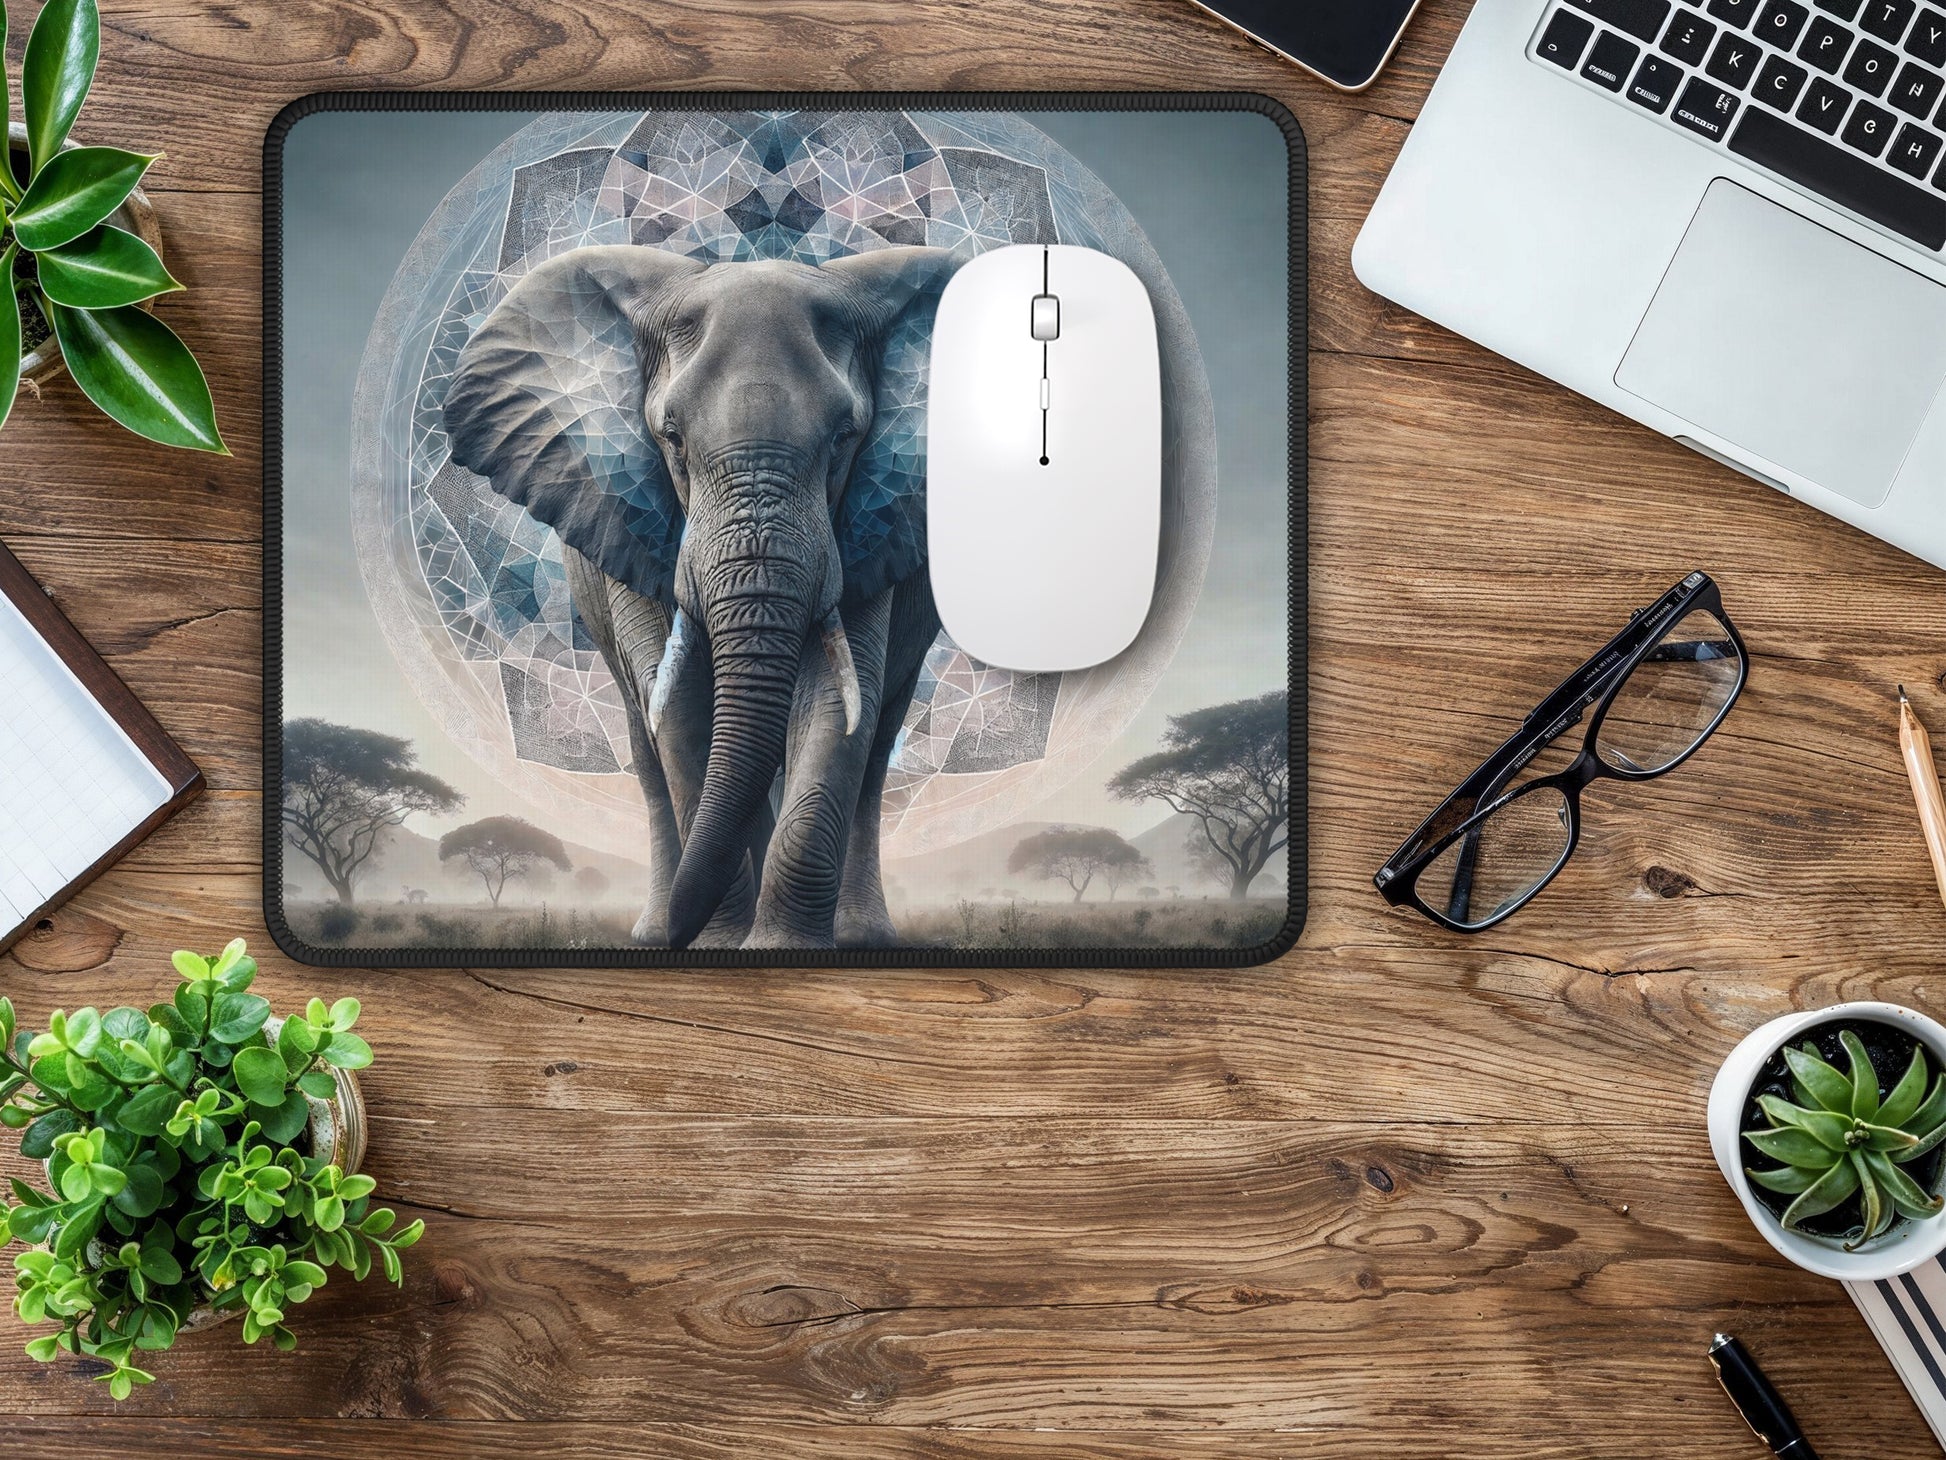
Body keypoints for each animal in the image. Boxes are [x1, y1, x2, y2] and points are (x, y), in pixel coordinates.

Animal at [441, 243, 957, 949]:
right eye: (673, 438)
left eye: (844, 438)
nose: (684, 935)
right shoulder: (634, 516)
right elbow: (681, 710)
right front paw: (718, 944)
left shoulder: (869, 522)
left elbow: (834, 701)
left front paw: (777, 949)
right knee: (646, 742)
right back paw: (653, 931)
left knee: (875, 739)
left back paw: (862, 938)